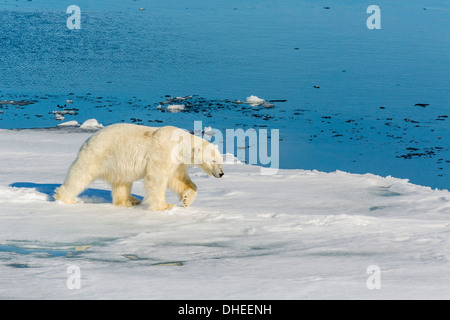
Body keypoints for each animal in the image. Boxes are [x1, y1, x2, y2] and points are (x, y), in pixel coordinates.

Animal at [54, 124, 223, 211]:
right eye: (213, 160)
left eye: (221, 160)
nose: (221, 173)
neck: (180, 144)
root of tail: (88, 139)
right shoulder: (163, 152)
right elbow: (157, 179)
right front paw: (165, 206)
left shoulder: (178, 162)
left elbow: (178, 179)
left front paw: (187, 199)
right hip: (96, 154)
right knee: (80, 175)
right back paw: (67, 199)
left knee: (122, 181)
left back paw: (129, 201)